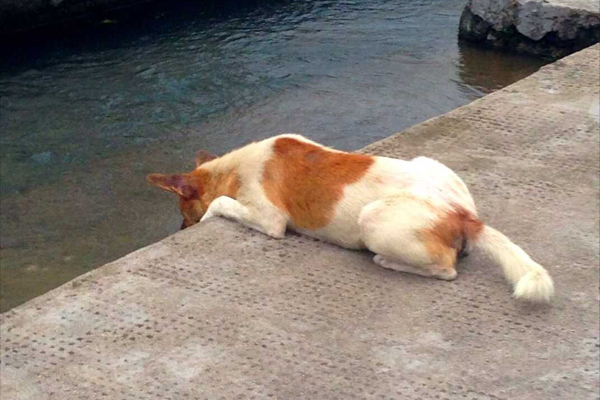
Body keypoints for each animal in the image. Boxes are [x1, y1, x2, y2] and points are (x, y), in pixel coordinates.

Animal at [148, 134, 554, 302]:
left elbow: (220, 204)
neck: (231, 168)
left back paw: (388, 261)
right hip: (430, 164)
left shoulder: (269, 218)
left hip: (371, 218)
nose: (178, 228)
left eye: (183, 213)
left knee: (445, 268)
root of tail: (463, 214)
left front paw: (206, 216)